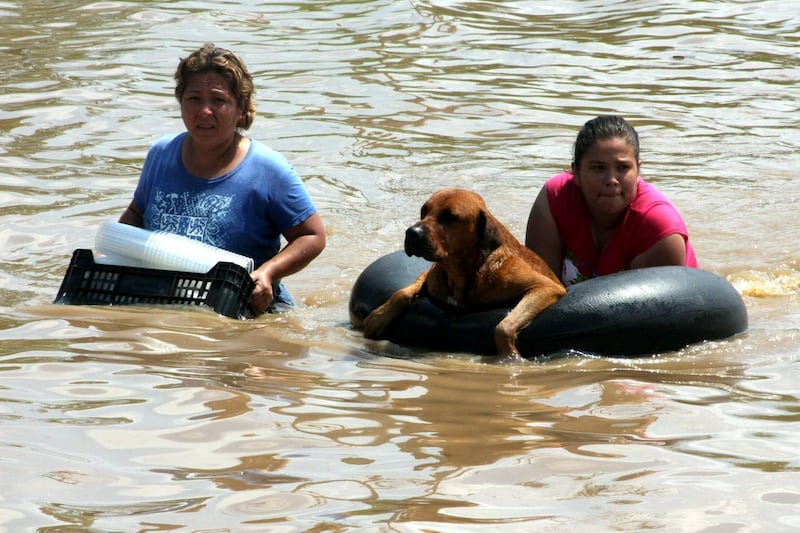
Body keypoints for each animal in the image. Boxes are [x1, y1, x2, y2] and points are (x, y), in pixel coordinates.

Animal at [362, 186, 564, 358]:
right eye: (424, 211)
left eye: (450, 216)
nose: (412, 233)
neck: (461, 273)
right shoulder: (431, 275)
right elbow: (401, 293)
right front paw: (379, 316)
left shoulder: (546, 287)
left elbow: (503, 326)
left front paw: (510, 356)